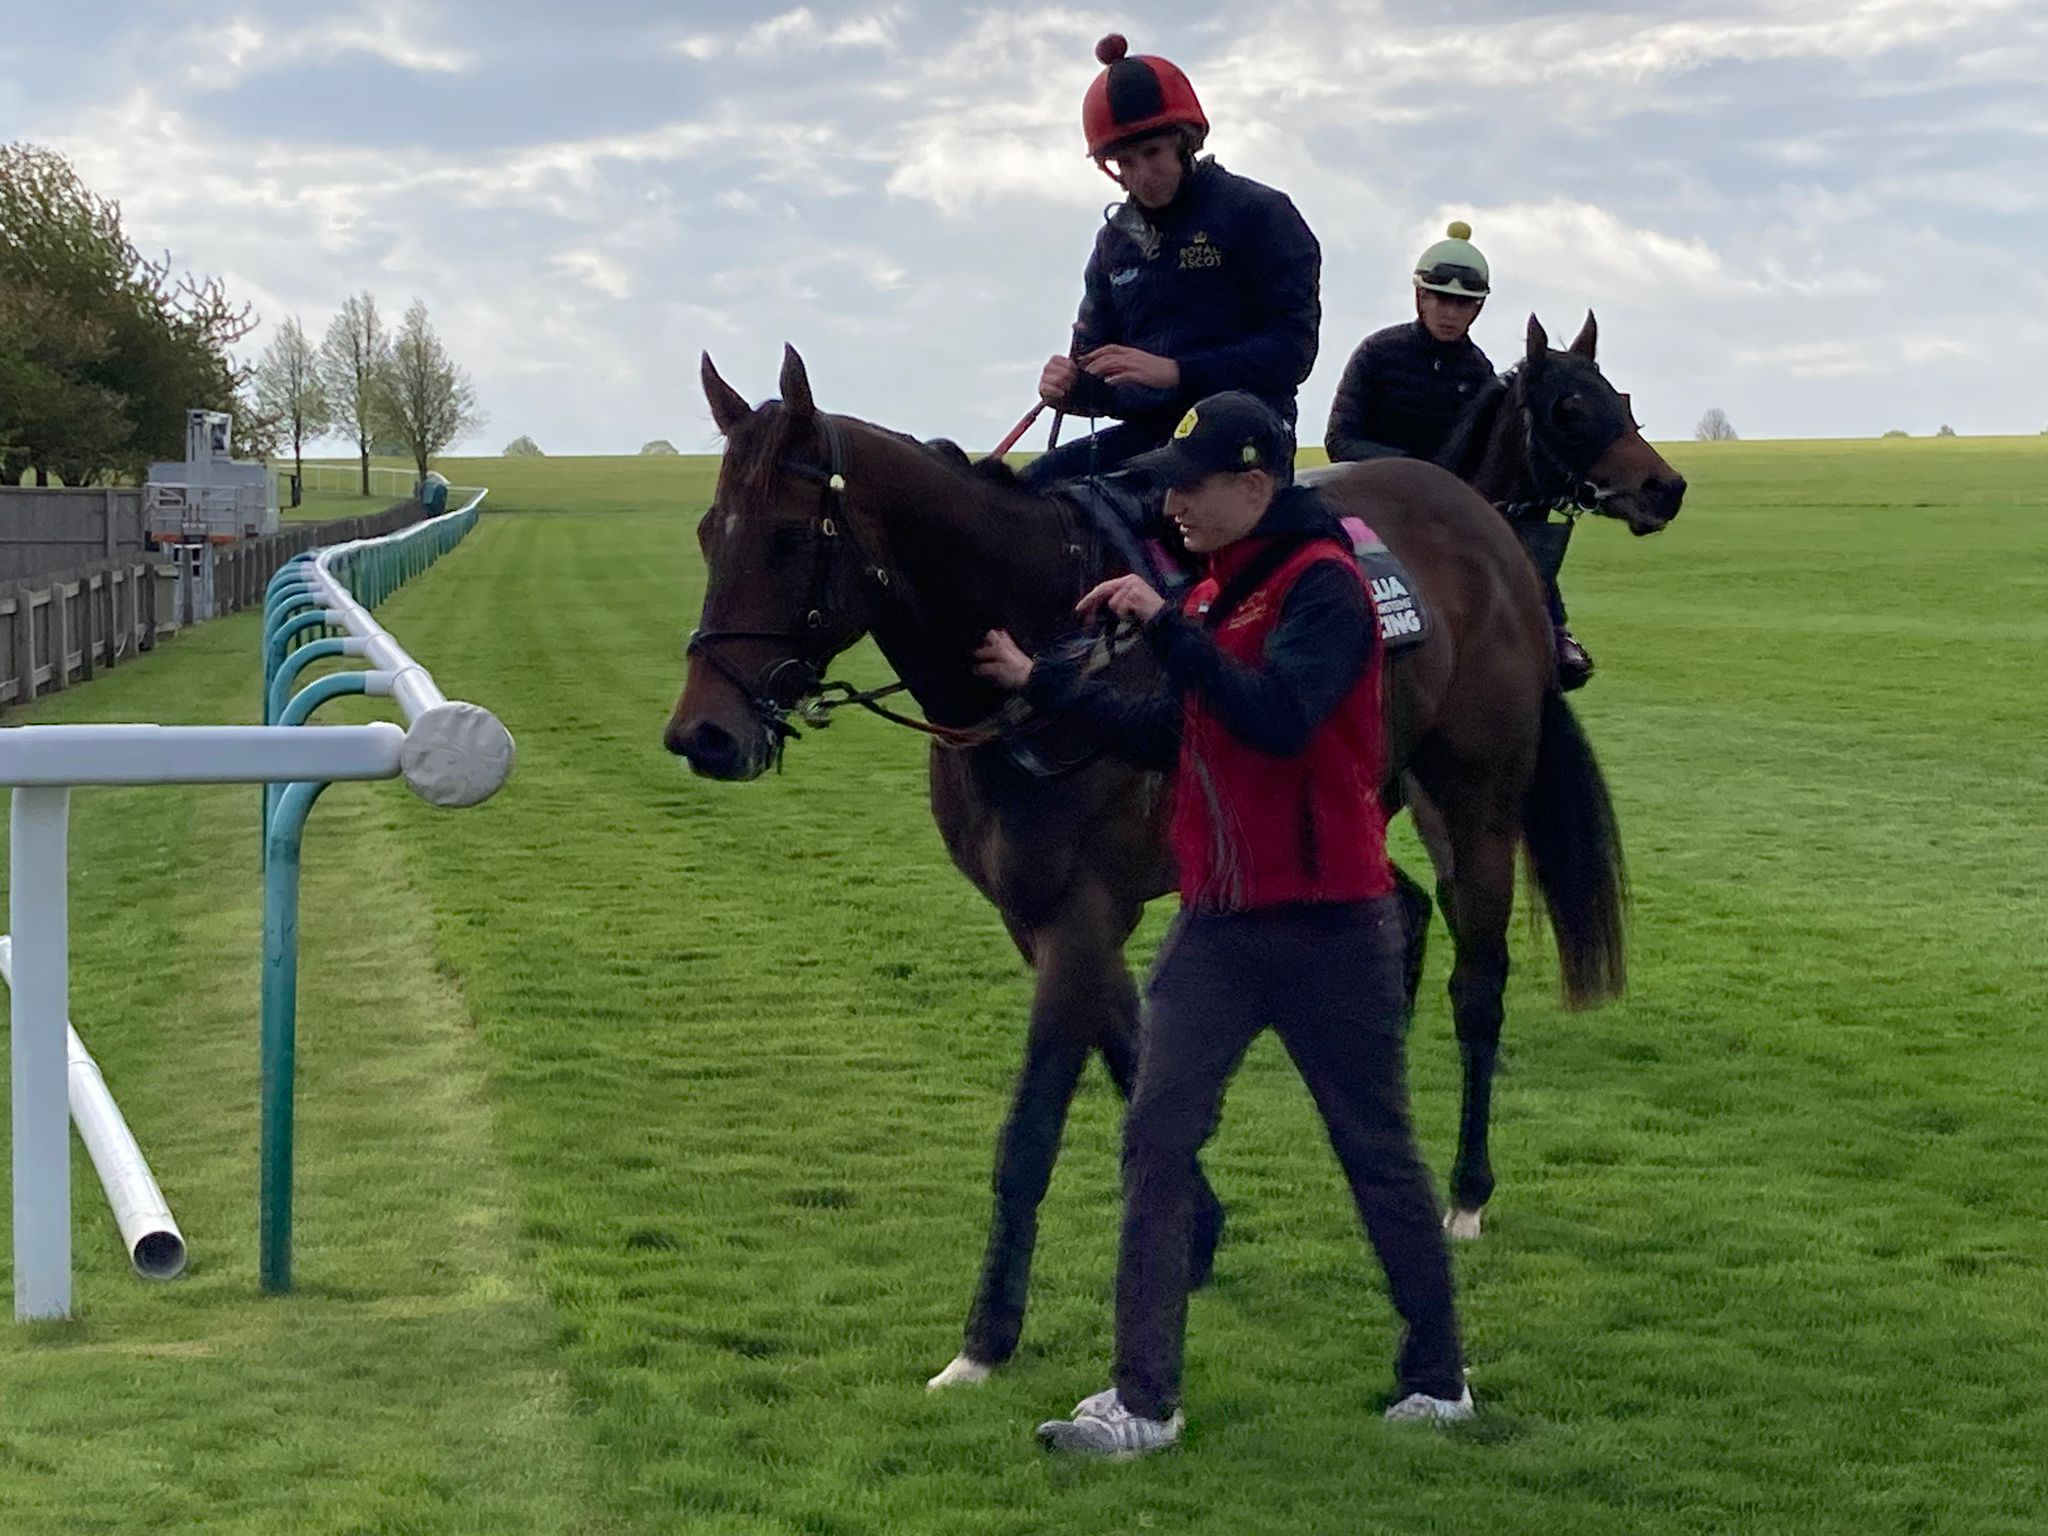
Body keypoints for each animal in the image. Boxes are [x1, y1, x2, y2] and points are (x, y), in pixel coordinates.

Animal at [667, 315, 1679, 1392]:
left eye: (786, 537)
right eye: (708, 532)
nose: (703, 734)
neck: (1049, 635)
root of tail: (1484, 532)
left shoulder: (1080, 912)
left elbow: (1033, 1129)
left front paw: (987, 1338)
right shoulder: (1043, 914)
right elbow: (1134, 1057)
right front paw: (1197, 1227)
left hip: (1473, 804)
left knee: (1477, 985)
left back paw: (1467, 1191)